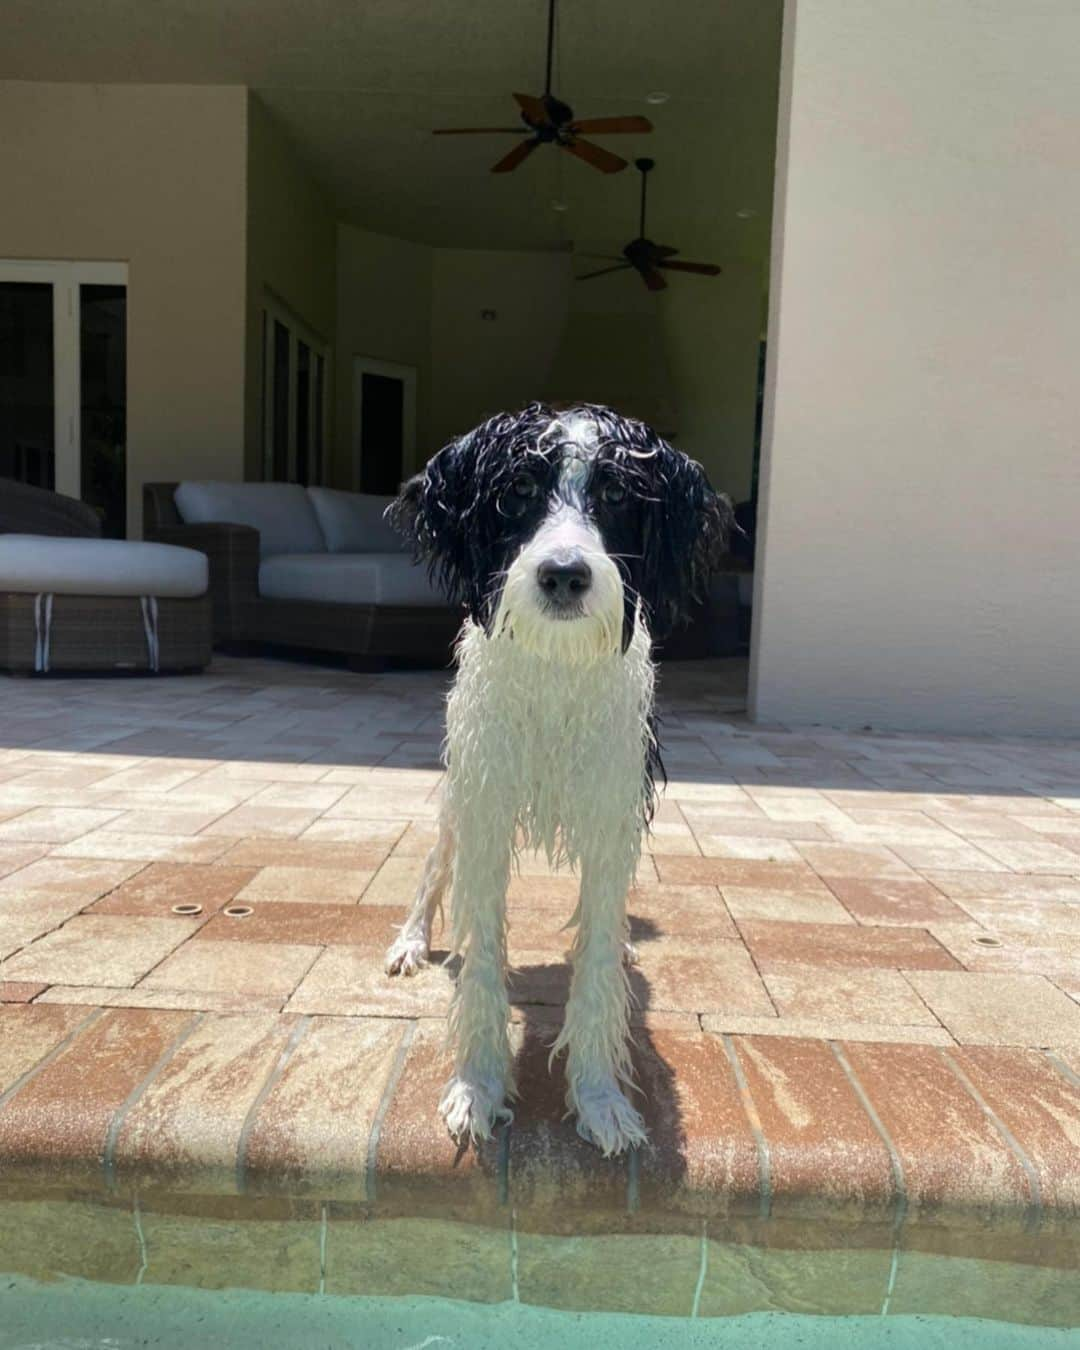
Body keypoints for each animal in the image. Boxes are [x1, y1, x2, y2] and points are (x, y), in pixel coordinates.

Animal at [383, 399, 729, 1150]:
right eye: (517, 490)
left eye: (618, 495)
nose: (565, 573)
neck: (556, 666)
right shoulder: (484, 805)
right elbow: (483, 959)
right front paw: (478, 1088)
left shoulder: (610, 814)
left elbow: (596, 964)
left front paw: (600, 1099)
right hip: (457, 797)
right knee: (432, 865)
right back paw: (410, 941)